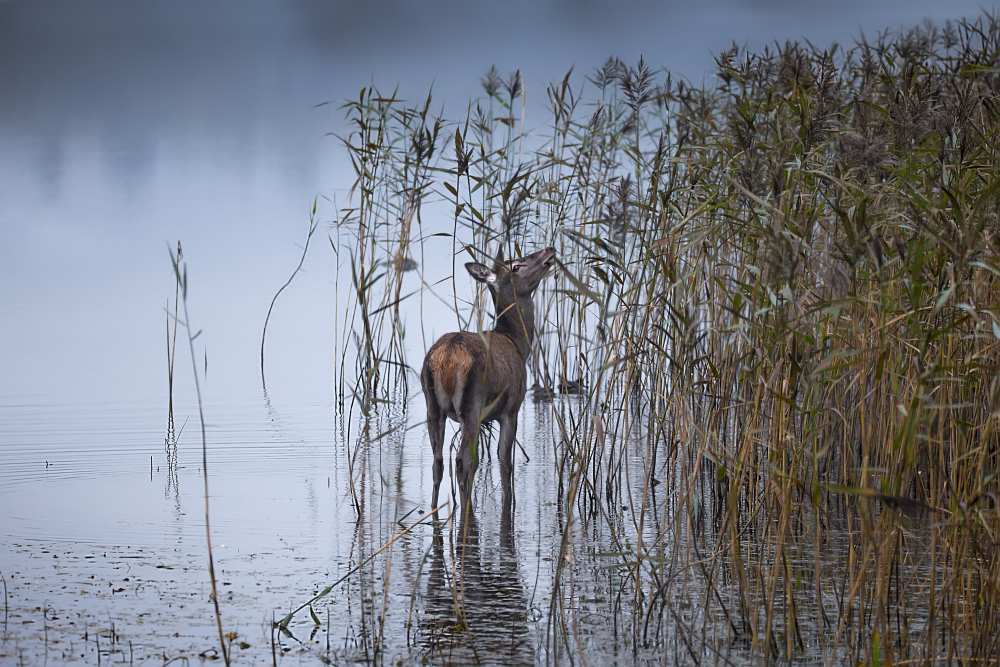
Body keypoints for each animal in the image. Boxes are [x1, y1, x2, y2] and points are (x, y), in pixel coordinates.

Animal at [420, 245, 560, 512]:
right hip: (471, 403)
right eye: (516, 265)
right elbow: (504, 461)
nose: (549, 249)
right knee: (463, 460)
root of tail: (446, 358)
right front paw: (509, 503)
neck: (517, 343)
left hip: (432, 404)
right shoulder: (511, 408)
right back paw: (466, 508)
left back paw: (433, 508)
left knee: (438, 461)